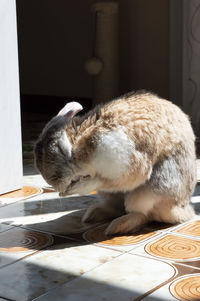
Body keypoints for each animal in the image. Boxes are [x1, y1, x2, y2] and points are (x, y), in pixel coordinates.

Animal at [34, 91, 197, 234]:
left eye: (60, 149)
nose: (52, 182)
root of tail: (182, 208)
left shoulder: (127, 167)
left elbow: (101, 180)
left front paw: (70, 190)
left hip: (148, 192)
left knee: (143, 214)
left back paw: (117, 226)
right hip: (109, 195)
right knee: (116, 208)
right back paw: (93, 215)